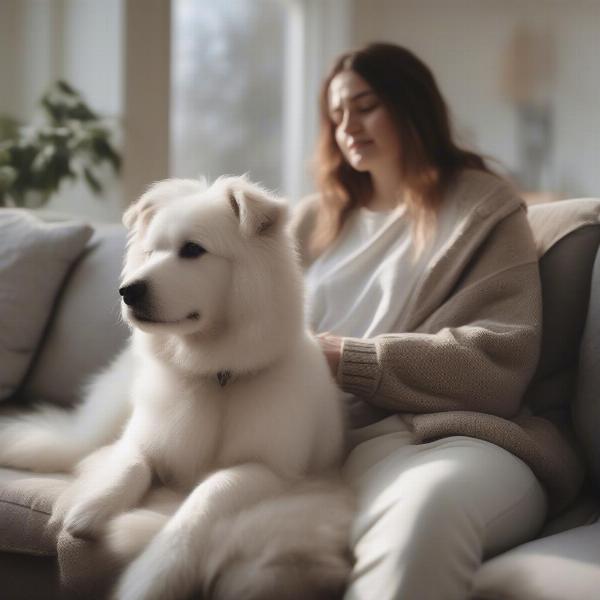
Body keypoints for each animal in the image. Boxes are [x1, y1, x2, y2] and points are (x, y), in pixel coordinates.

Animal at [0, 177, 354, 600]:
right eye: (151, 252)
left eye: (193, 250)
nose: (127, 290)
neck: (216, 375)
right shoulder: (143, 439)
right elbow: (131, 463)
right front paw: (90, 508)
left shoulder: (266, 469)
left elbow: (207, 495)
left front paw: (155, 573)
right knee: (78, 444)